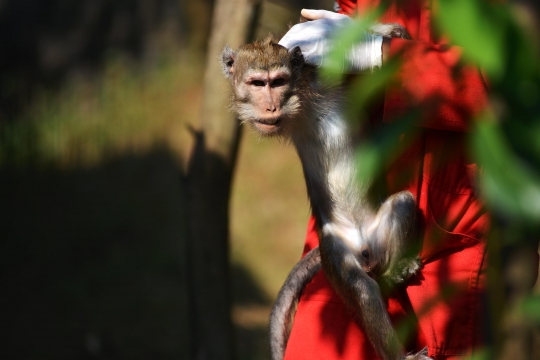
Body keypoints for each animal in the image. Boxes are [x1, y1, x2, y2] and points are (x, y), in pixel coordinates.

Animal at [219, 8, 430, 360]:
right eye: (257, 83)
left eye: (278, 81)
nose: (271, 106)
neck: (301, 99)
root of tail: (365, 246)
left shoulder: (327, 77)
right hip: (335, 250)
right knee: (363, 289)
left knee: (402, 202)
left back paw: (398, 268)